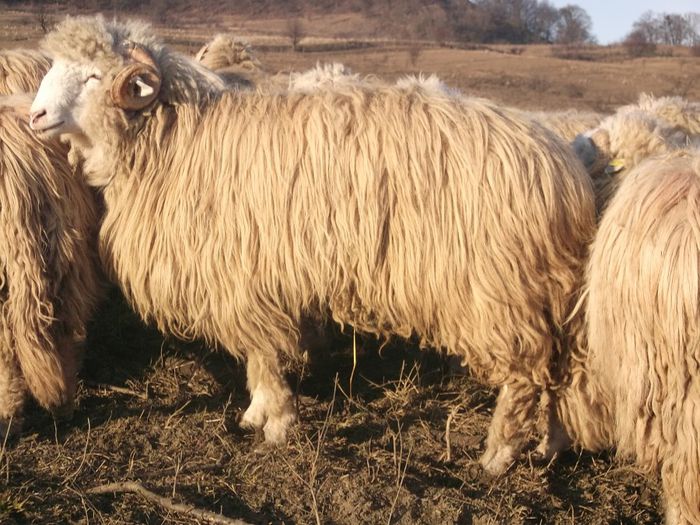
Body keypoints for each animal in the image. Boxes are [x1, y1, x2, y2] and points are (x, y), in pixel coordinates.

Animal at [29, 15, 596, 474]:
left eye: (94, 75)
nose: (35, 117)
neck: (178, 138)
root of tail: (563, 168)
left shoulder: (243, 275)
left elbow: (262, 352)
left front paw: (277, 422)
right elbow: (257, 355)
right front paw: (255, 412)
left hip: (500, 290)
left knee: (524, 376)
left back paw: (499, 454)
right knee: (559, 372)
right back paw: (549, 445)